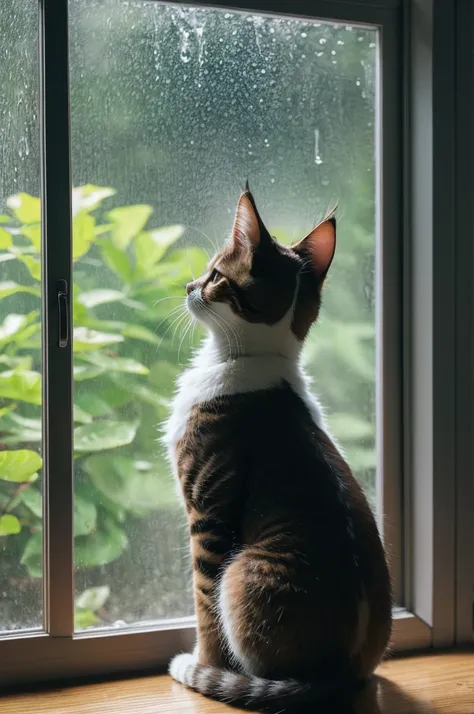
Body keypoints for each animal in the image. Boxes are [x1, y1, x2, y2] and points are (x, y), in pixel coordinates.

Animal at [163, 186, 392, 708]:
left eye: (214, 273)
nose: (188, 285)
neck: (252, 357)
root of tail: (342, 672)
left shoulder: (207, 516)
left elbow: (203, 604)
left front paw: (202, 666)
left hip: (242, 570)